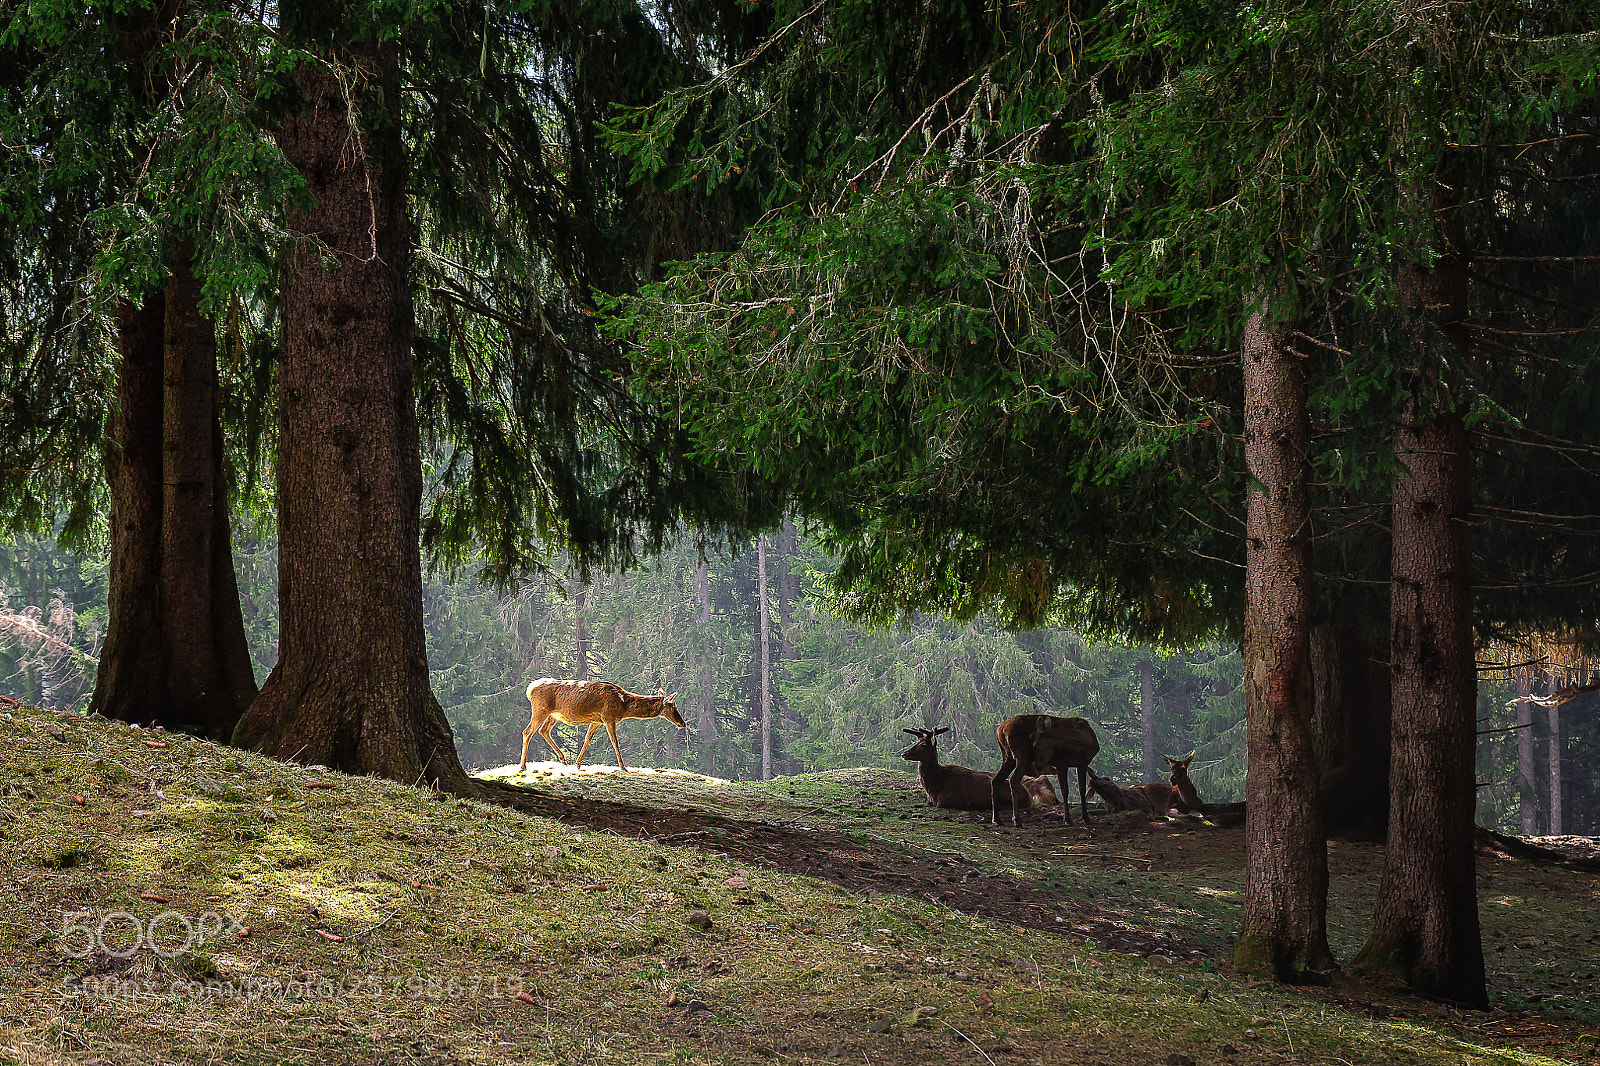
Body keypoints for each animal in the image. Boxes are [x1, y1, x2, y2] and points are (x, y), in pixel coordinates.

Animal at [518, 678, 686, 773]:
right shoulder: (608, 717)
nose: (683, 723)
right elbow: (615, 741)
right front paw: (623, 767)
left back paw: (563, 759)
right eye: (672, 706)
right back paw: (523, 766)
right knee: (527, 732)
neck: (624, 705)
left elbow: (587, 739)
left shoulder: (597, 720)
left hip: (554, 715)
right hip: (541, 709)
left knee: (543, 730)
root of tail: (529, 689)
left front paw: (578, 764)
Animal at [901, 727, 1059, 811]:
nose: (904, 753)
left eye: (923, 745)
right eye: (916, 742)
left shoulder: (955, 798)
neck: (935, 786)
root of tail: (1027, 795)